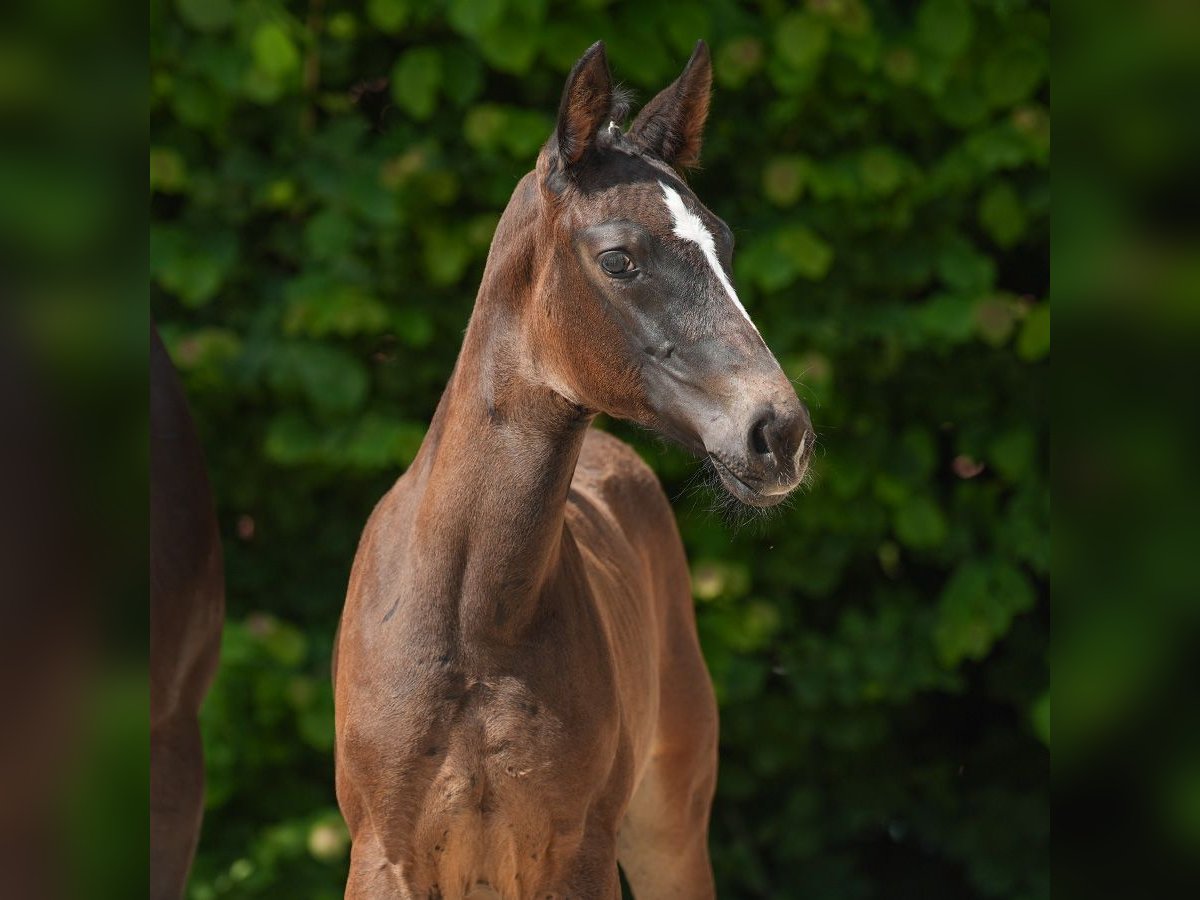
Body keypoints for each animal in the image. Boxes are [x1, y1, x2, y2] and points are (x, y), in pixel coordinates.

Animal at [333, 40, 811, 900]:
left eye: (723, 245)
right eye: (618, 259)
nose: (779, 432)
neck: (473, 624)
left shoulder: (577, 851)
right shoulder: (383, 856)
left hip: (668, 828)